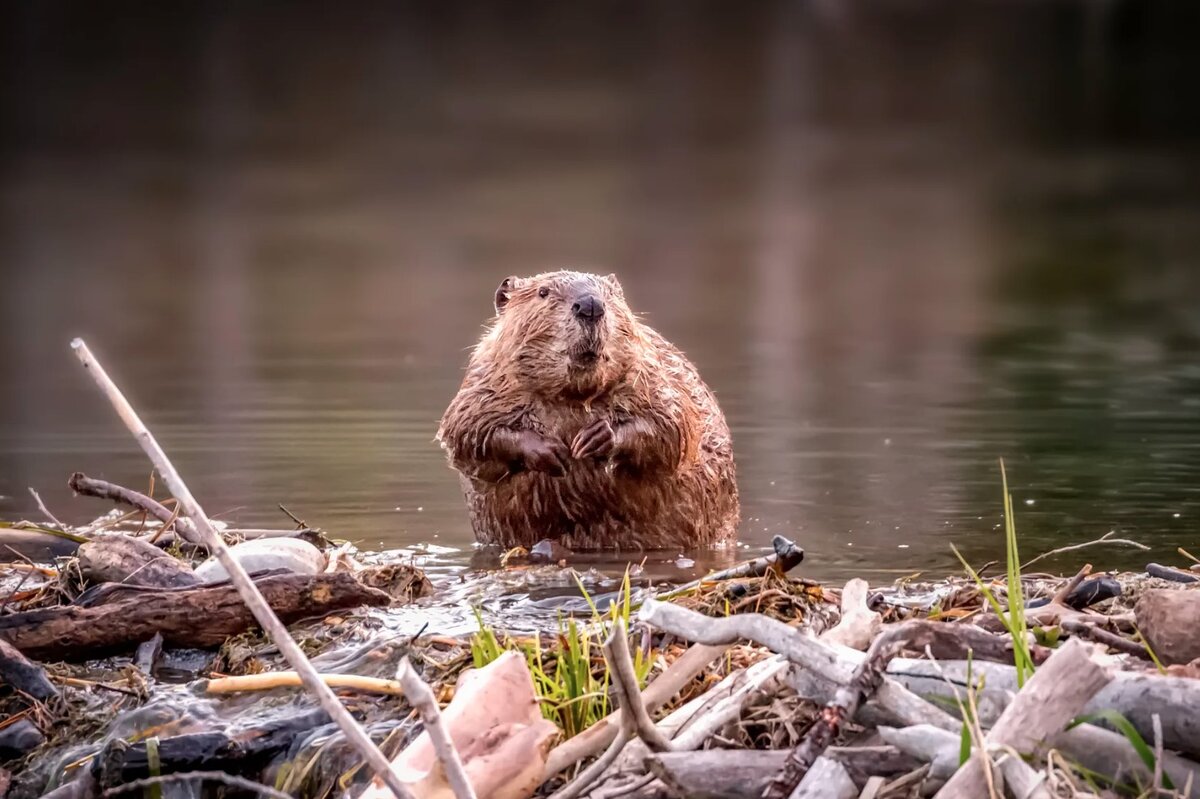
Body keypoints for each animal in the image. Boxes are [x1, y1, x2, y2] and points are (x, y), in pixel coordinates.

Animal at [441, 268, 739, 547]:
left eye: (609, 293)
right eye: (543, 292)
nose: (590, 305)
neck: (572, 396)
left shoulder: (653, 373)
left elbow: (673, 425)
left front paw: (594, 439)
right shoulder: (484, 383)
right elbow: (467, 433)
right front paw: (551, 450)